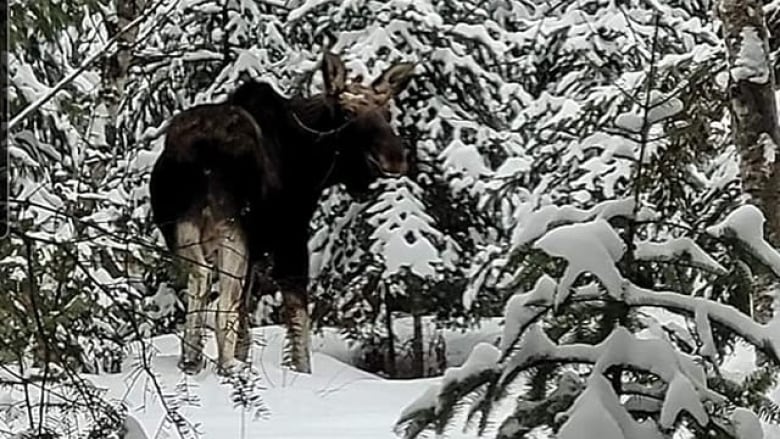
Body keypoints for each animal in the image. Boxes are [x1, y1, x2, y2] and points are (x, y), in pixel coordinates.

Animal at [148, 52, 414, 374]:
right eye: (347, 113)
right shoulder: (291, 237)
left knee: (199, 281)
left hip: (182, 224)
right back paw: (228, 367)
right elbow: (298, 320)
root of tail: (194, 151)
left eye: (387, 113)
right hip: (232, 227)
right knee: (220, 303)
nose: (395, 159)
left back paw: (191, 361)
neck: (313, 161)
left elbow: (246, 324)